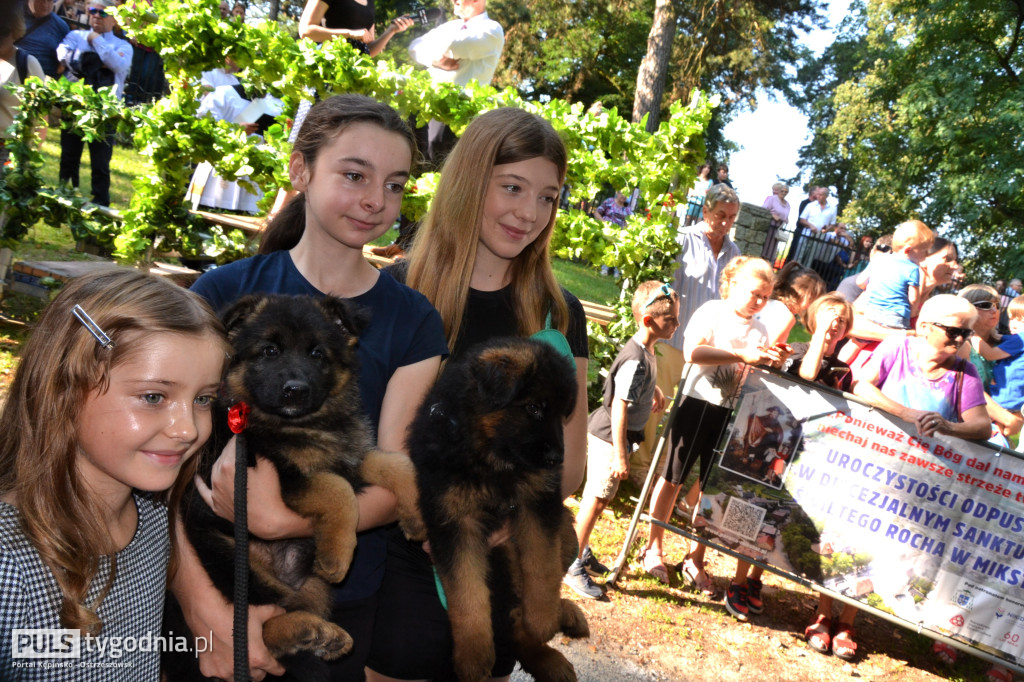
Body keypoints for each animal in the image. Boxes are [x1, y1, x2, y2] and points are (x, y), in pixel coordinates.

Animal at [165, 292, 421, 679]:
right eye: (270, 351)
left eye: (317, 354)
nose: (295, 392)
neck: (303, 425)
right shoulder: (282, 475)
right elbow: (335, 488)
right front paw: (339, 552)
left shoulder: (349, 457)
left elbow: (392, 462)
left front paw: (417, 515)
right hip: (232, 560)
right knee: (253, 624)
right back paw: (305, 629)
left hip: (314, 587)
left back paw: (318, 635)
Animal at [409, 337, 593, 679]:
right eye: (534, 408)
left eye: (562, 416)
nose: (557, 460)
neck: (490, 457)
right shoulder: (452, 524)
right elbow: (466, 591)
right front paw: (473, 656)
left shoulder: (538, 504)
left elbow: (541, 566)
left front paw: (543, 618)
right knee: (512, 623)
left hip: (566, 531)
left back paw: (561, 615)